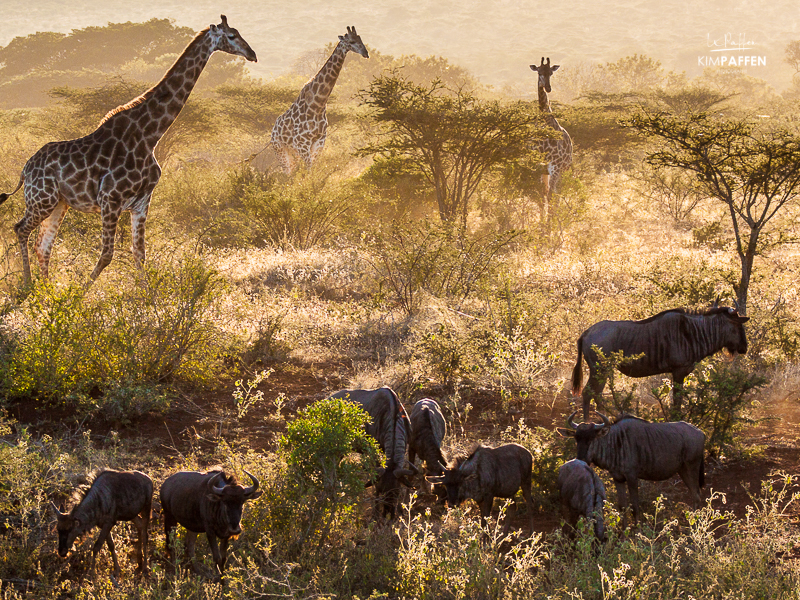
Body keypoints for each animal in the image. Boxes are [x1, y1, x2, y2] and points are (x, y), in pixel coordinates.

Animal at [0, 15, 256, 284]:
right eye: (231, 36)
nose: (252, 54)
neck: (149, 135)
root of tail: (25, 169)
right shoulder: (110, 199)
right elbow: (107, 255)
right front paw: (80, 292)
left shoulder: (142, 202)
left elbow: (139, 254)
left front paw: (147, 294)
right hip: (42, 199)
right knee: (21, 229)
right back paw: (29, 286)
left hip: (59, 203)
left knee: (43, 245)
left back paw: (46, 289)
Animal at [268, 27, 368, 172]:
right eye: (351, 41)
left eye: (360, 39)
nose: (366, 53)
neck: (318, 103)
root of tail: (273, 131)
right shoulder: (302, 143)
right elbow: (309, 170)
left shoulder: (319, 141)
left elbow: (313, 168)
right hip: (280, 150)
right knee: (288, 172)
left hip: (292, 152)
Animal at [528, 55, 572, 220]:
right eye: (539, 72)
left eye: (551, 73)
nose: (548, 88)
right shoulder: (539, 166)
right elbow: (542, 196)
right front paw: (541, 225)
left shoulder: (555, 167)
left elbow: (551, 196)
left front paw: (548, 226)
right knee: (549, 193)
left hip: (563, 169)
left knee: (557, 194)